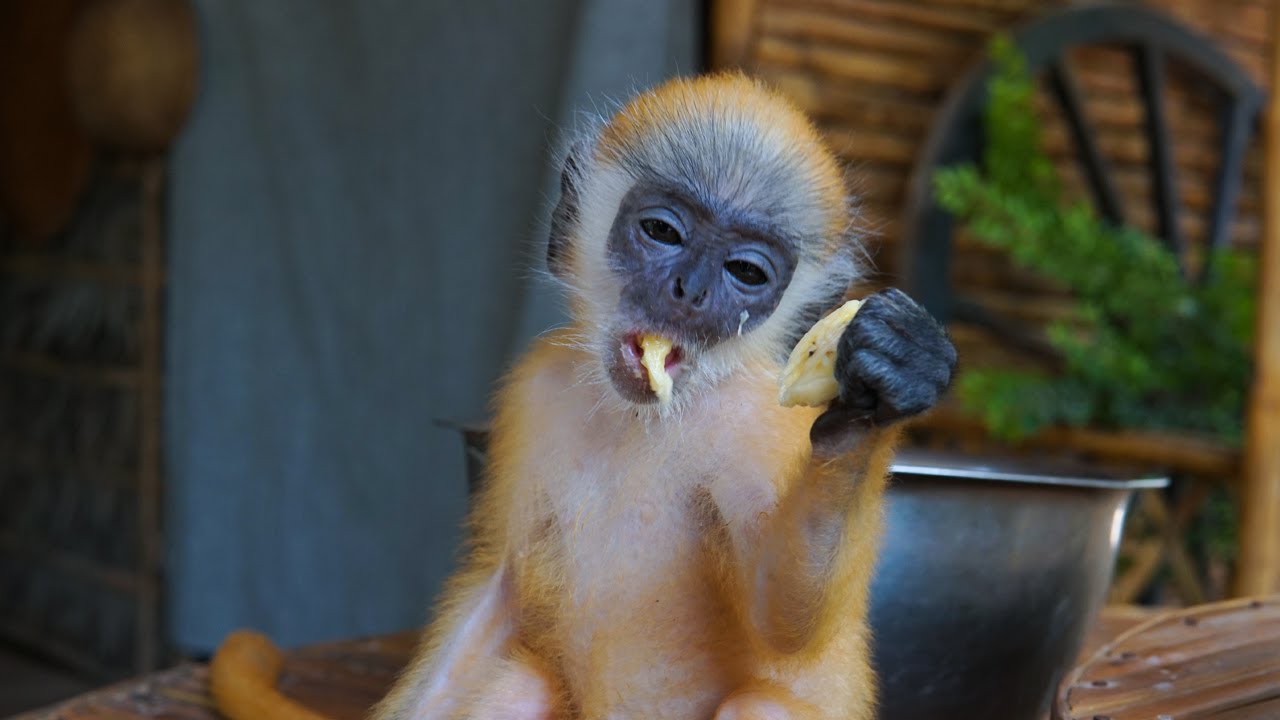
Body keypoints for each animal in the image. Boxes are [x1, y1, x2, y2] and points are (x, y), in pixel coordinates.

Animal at [208, 72, 955, 720]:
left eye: (746, 272)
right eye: (663, 232)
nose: (689, 292)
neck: (637, 419)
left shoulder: (749, 424)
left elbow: (786, 616)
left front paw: (879, 392)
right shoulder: (536, 388)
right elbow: (500, 586)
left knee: (763, 707)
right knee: (518, 688)